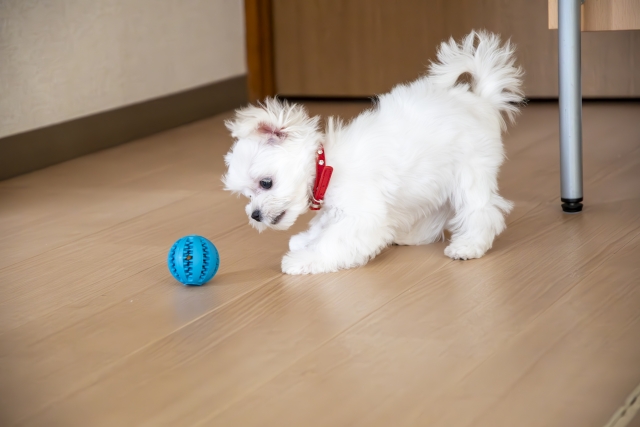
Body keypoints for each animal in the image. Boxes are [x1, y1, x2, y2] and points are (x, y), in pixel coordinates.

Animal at [222, 31, 524, 276]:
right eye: (247, 196)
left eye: (265, 183)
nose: (254, 215)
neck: (327, 168)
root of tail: (482, 100)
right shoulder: (338, 208)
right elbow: (323, 226)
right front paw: (306, 240)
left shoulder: (361, 215)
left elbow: (333, 241)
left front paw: (303, 259)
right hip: (431, 179)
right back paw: (412, 236)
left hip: (469, 173)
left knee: (481, 211)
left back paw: (468, 246)